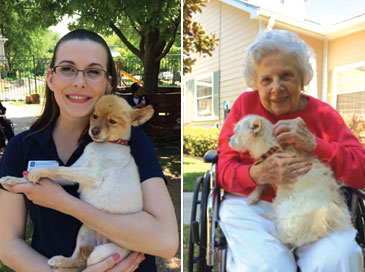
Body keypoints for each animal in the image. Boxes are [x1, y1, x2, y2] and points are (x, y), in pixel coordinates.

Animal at [0, 94, 154, 270]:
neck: (104, 146)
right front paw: (13, 179)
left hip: (103, 252)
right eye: (94, 116)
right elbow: (54, 171)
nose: (94, 131)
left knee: (86, 263)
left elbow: (57, 168)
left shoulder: (92, 175)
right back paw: (60, 261)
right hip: (84, 231)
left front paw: (36, 172)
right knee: (78, 259)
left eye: (112, 121)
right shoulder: (77, 169)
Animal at [229, 114, 352, 249]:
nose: (228, 139)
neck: (272, 148)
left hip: (288, 207)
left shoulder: (282, 185)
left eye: (236, 133)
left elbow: (274, 199)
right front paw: (254, 196)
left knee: (286, 231)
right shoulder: (269, 171)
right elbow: (262, 181)